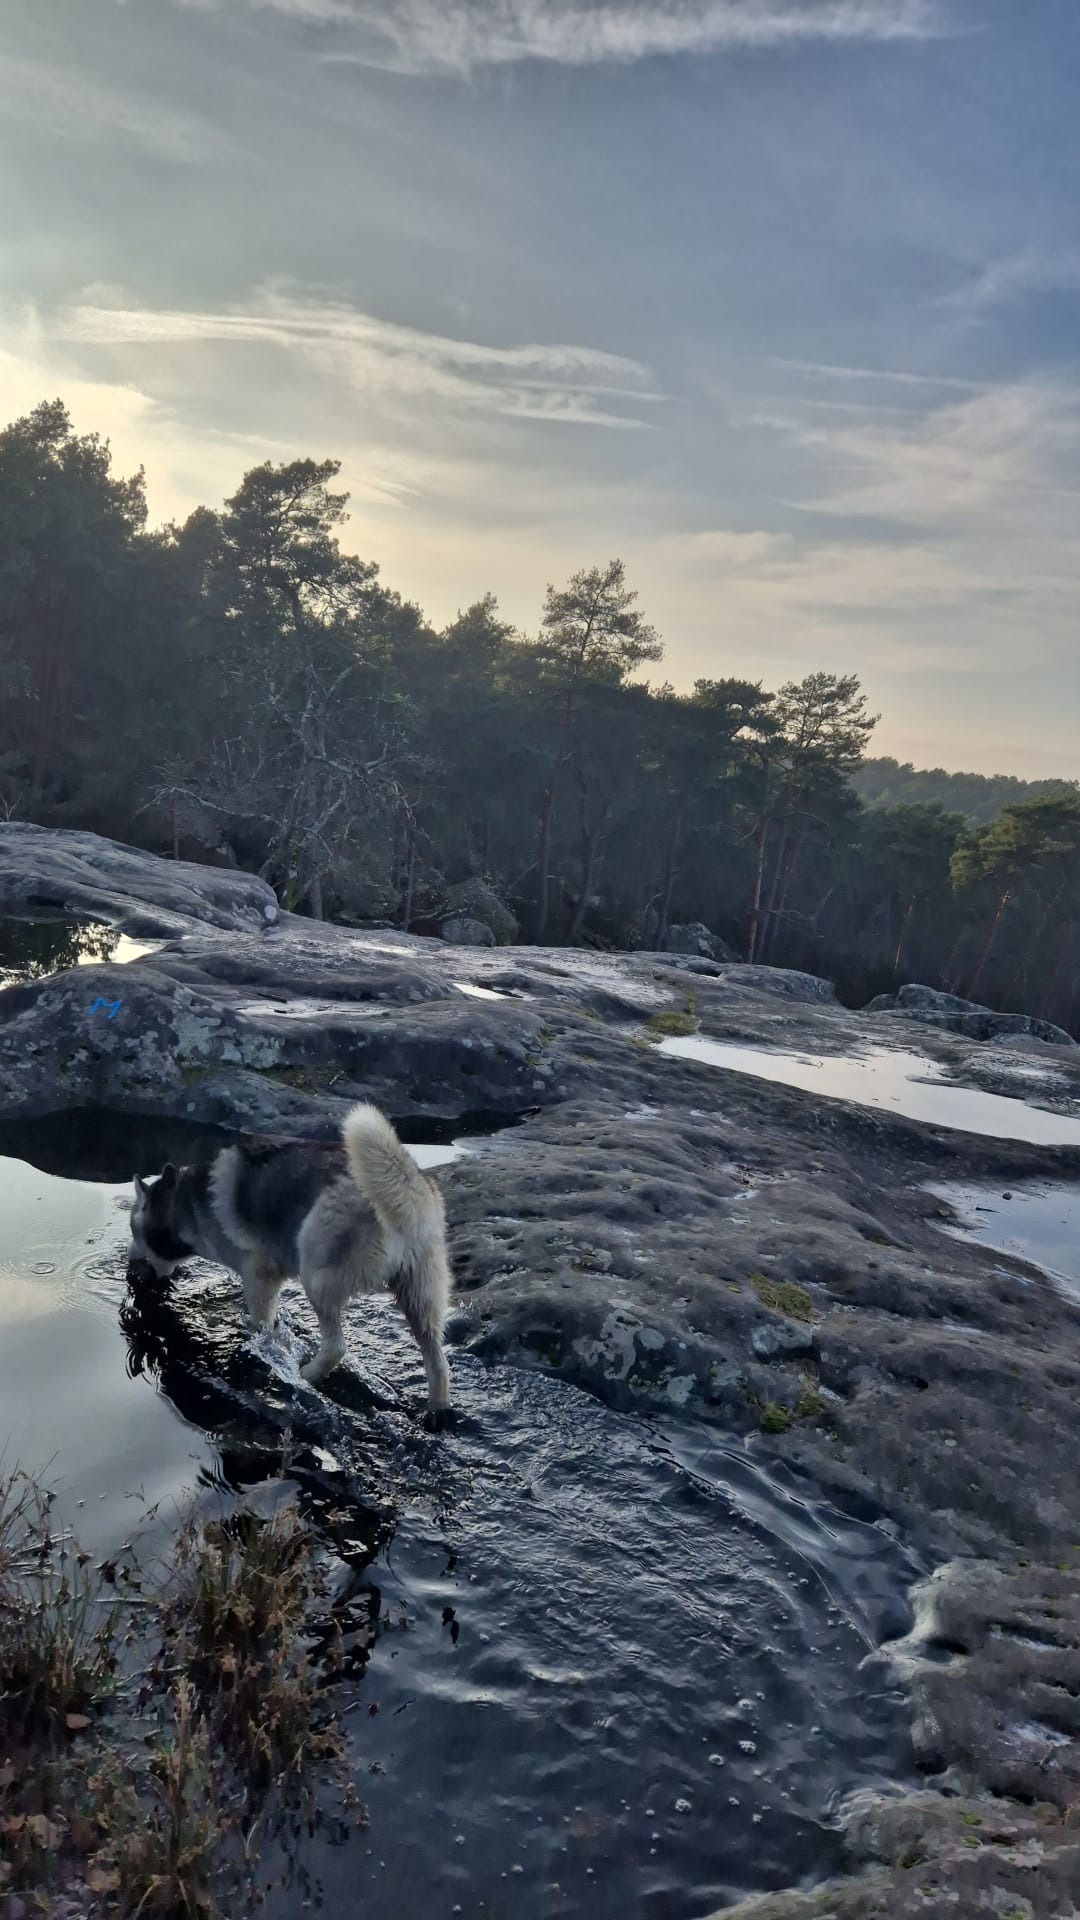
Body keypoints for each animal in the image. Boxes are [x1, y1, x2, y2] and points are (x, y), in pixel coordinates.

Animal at [127, 1113, 451, 1413]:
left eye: (133, 1230)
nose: (129, 1264)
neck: (185, 1204)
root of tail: (407, 1185)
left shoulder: (259, 1277)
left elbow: (261, 1327)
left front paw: (260, 1348)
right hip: (421, 1298)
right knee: (438, 1363)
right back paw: (436, 1410)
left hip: (316, 1278)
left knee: (335, 1347)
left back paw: (306, 1375)